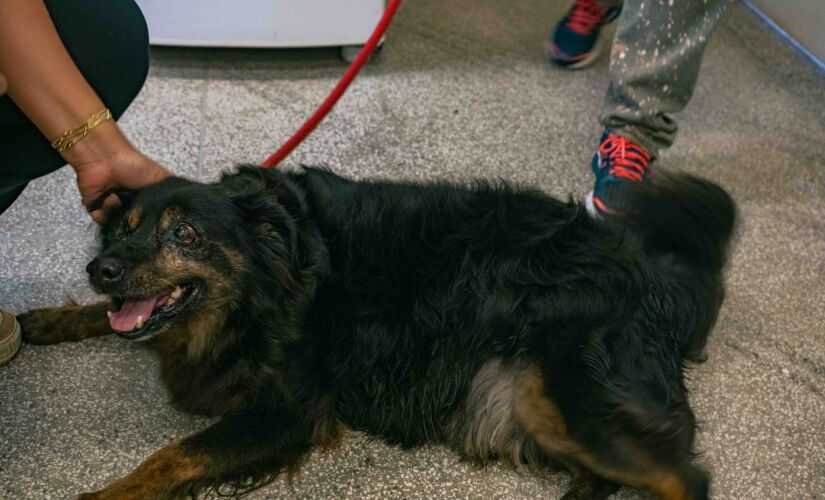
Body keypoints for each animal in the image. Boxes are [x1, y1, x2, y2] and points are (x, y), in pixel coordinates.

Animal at [20, 166, 732, 498]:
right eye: (123, 228)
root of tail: (657, 279)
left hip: (554, 386)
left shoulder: (286, 413)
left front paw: (106, 494)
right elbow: (109, 319)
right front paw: (51, 318)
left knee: (683, 477)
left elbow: (171, 455)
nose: (100, 268)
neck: (267, 286)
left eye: (185, 235)